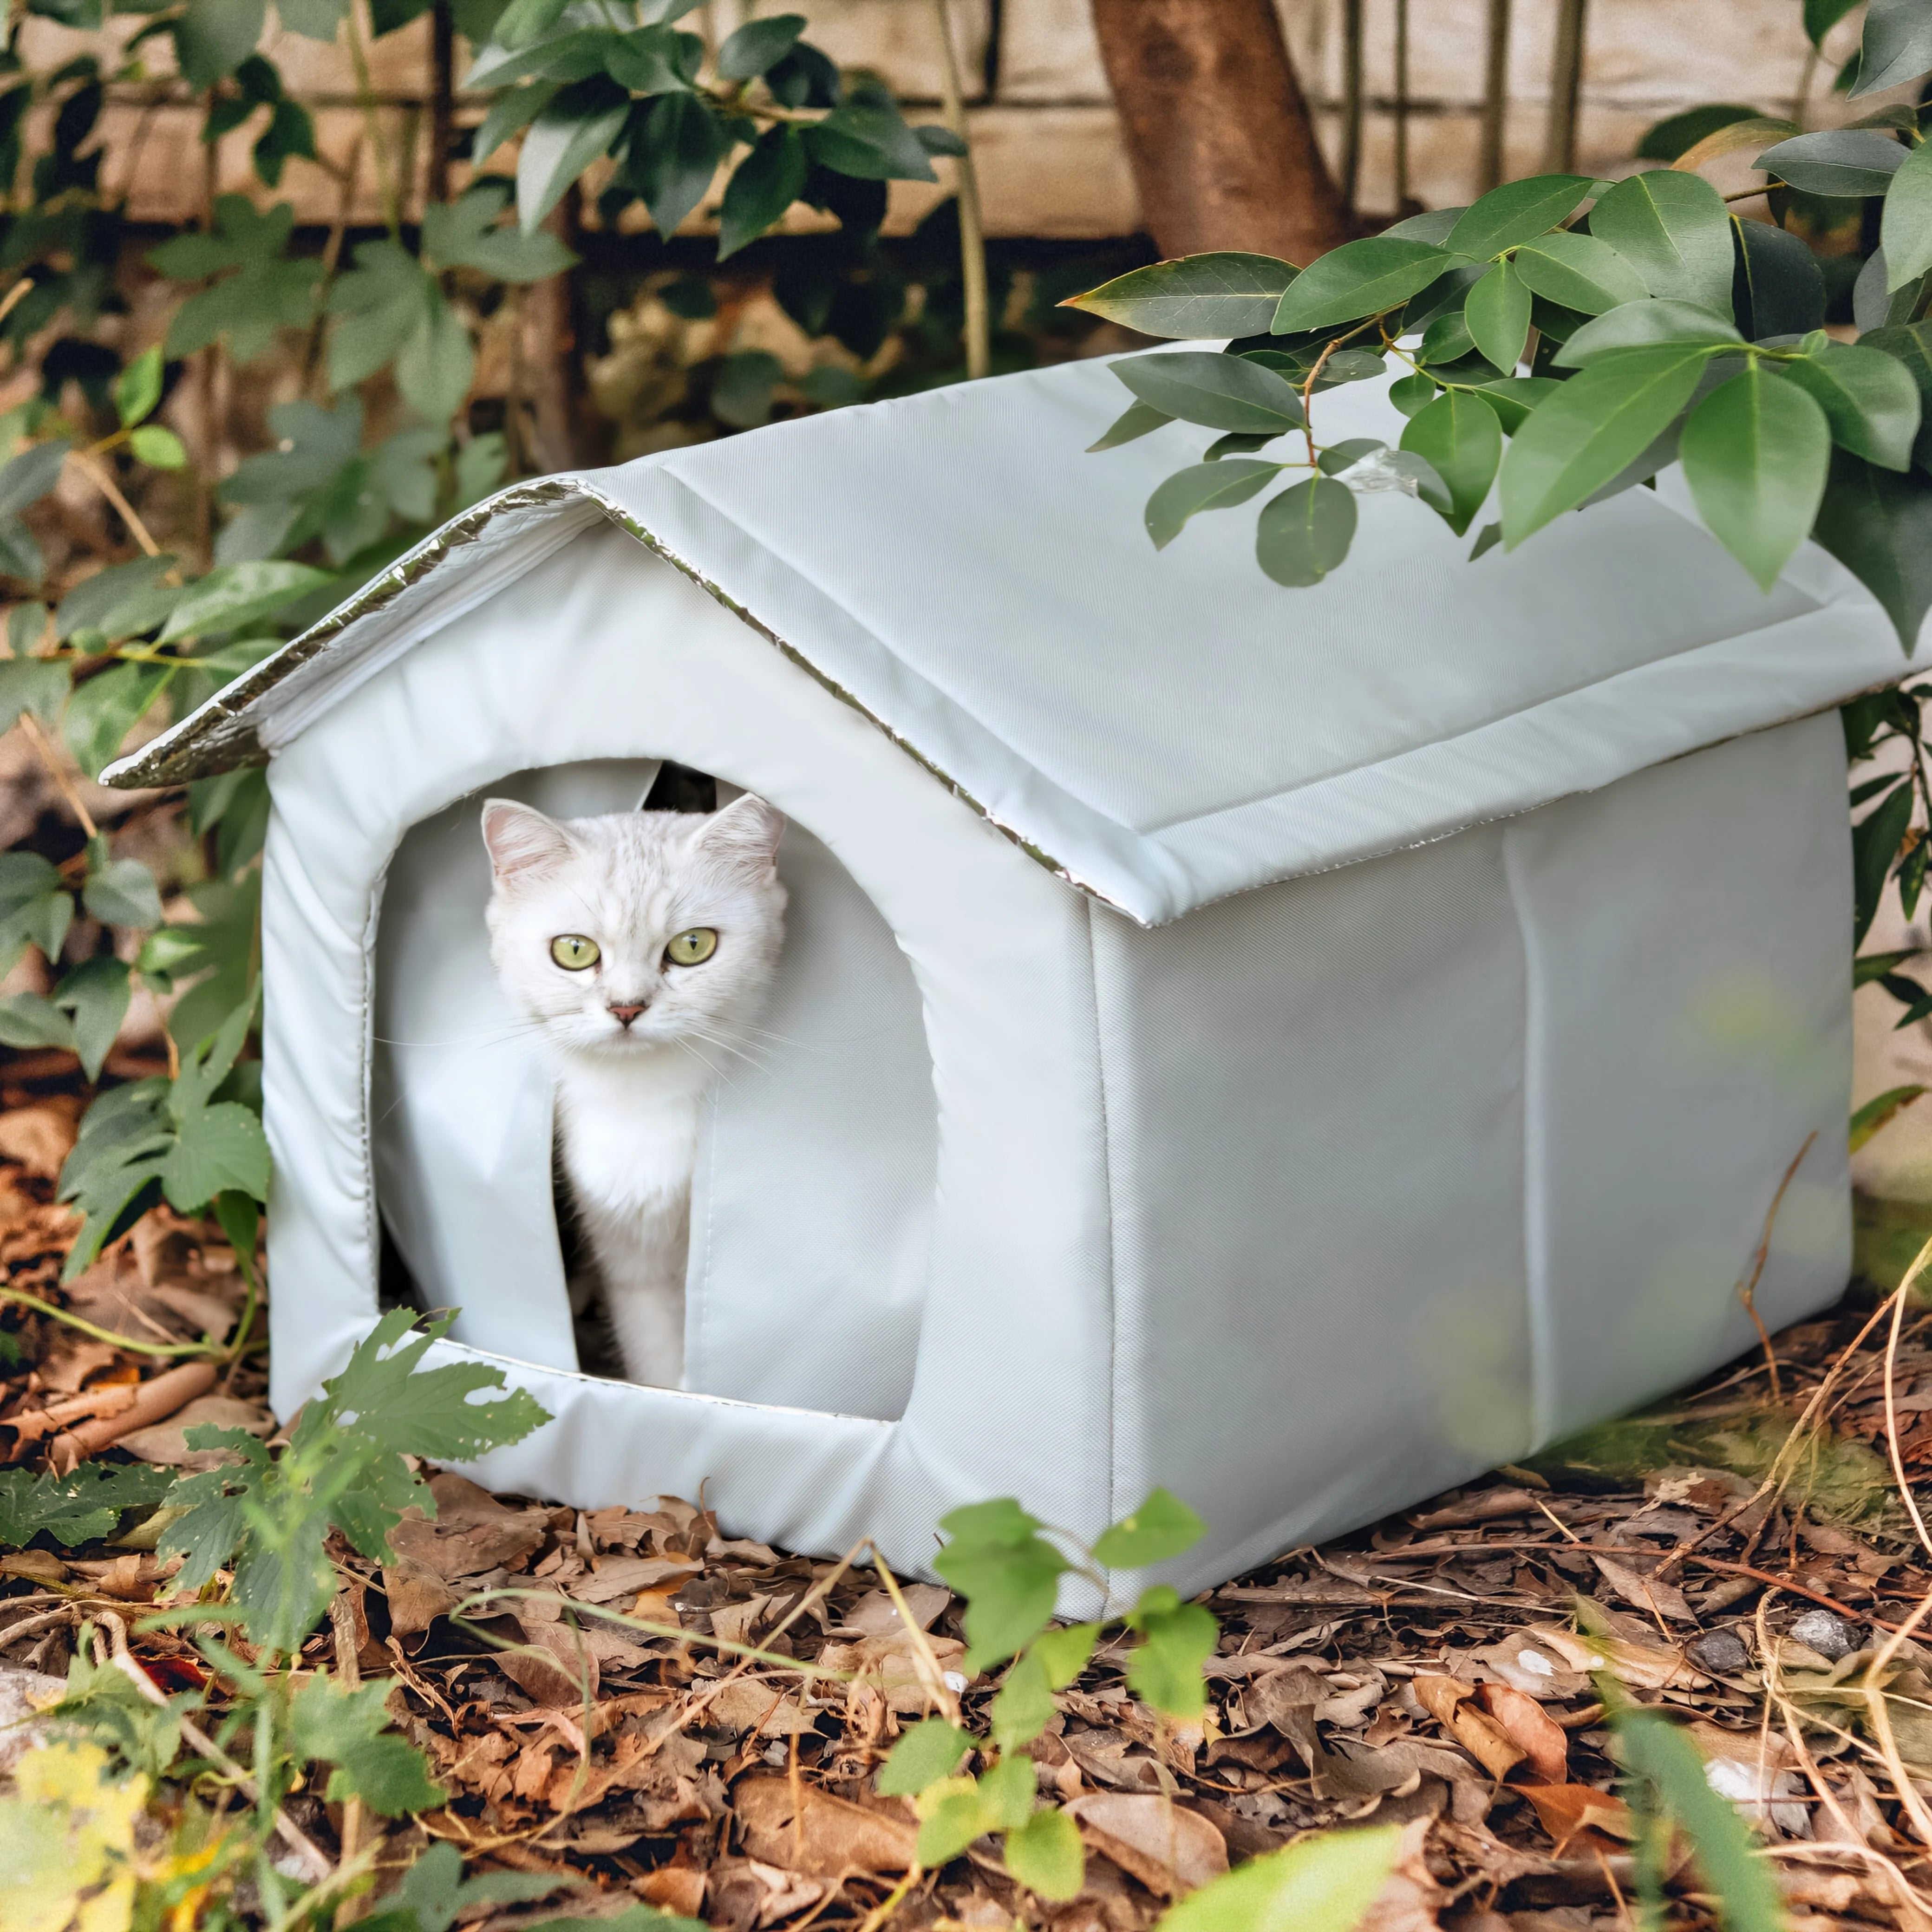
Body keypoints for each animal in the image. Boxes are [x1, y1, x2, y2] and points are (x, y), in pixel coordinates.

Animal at [479, 796, 788, 1391]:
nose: (627, 1007)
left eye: (693, 945)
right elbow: (655, 1360)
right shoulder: (631, 1261)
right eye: (574, 950)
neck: (642, 1094)